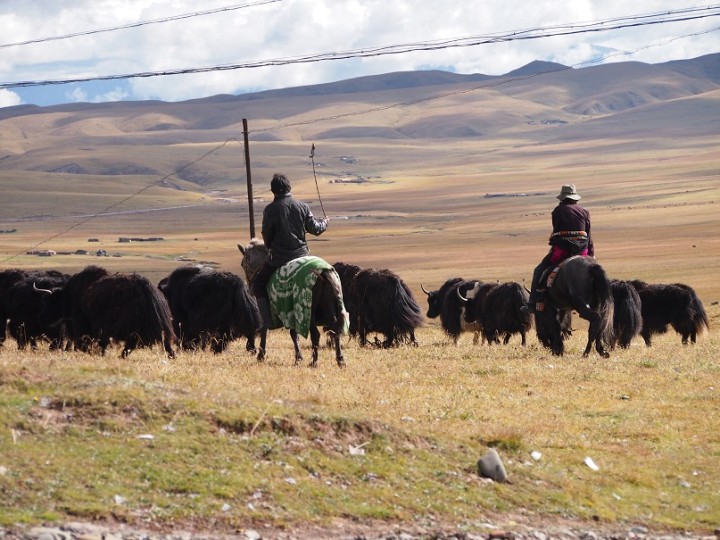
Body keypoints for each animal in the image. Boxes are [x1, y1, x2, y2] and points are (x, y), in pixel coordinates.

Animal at [238, 240, 348, 368]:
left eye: (242, 264)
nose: (250, 289)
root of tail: (324, 271)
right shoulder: (290, 313)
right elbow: (294, 334)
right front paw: (298, 357)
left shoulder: (287, 313)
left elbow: (267, 331)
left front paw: (261, 355)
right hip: (328, 306)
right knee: (334, 329)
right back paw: (340, 360)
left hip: (308, 311)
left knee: (316, 335)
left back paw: (314, 361)